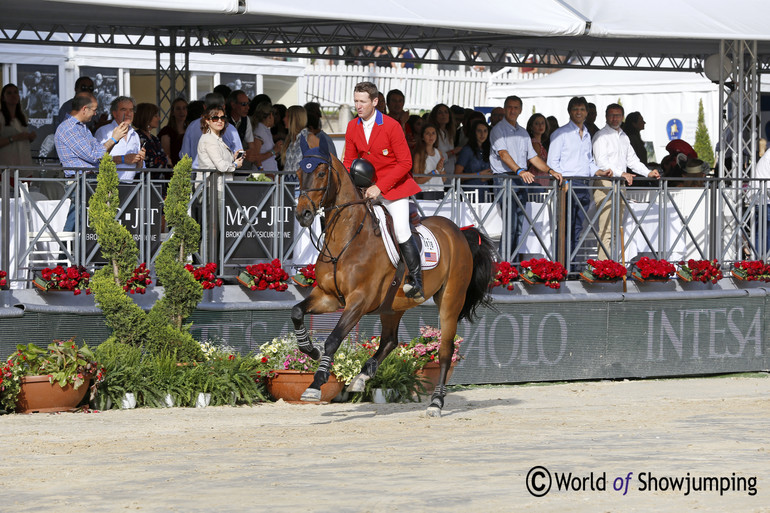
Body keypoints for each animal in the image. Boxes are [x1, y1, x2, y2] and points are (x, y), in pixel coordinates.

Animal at [288, 136, 492, 416]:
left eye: (320, 173)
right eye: (298, 174)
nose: (303, 214)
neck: (347, 238)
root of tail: (460, 232)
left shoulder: (359, 301)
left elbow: (333, 339)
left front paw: (316, 383)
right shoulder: (328, 296)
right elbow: (297, 312)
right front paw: (311, 351)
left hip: (451, 299)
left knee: (445, 350)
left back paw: (436, 403)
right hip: (392, 305)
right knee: (389, 341)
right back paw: (362, 377)